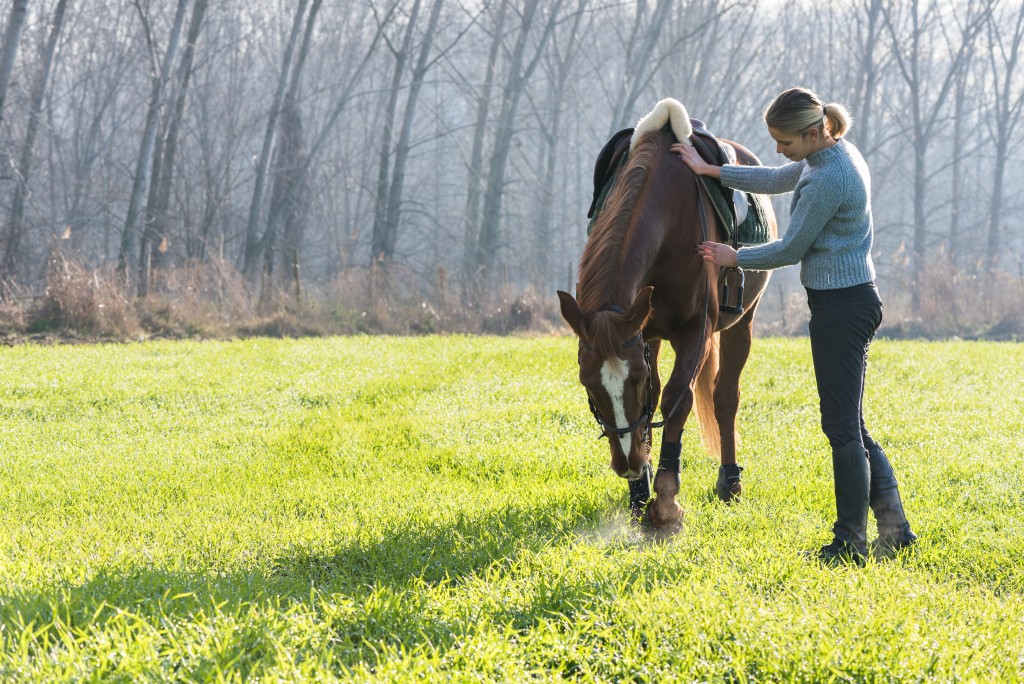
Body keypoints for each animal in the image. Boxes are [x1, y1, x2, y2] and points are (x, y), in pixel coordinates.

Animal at [561, 100, 774, 528]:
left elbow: (678, 399)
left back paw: (730, 480)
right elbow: (657, 398)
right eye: (587, 383)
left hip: (742, 323)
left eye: (634, 380)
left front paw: (665, 501)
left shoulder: (696, 330)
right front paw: (640, 493)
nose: (626, 465)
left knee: (725, 396)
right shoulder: (642, 332)